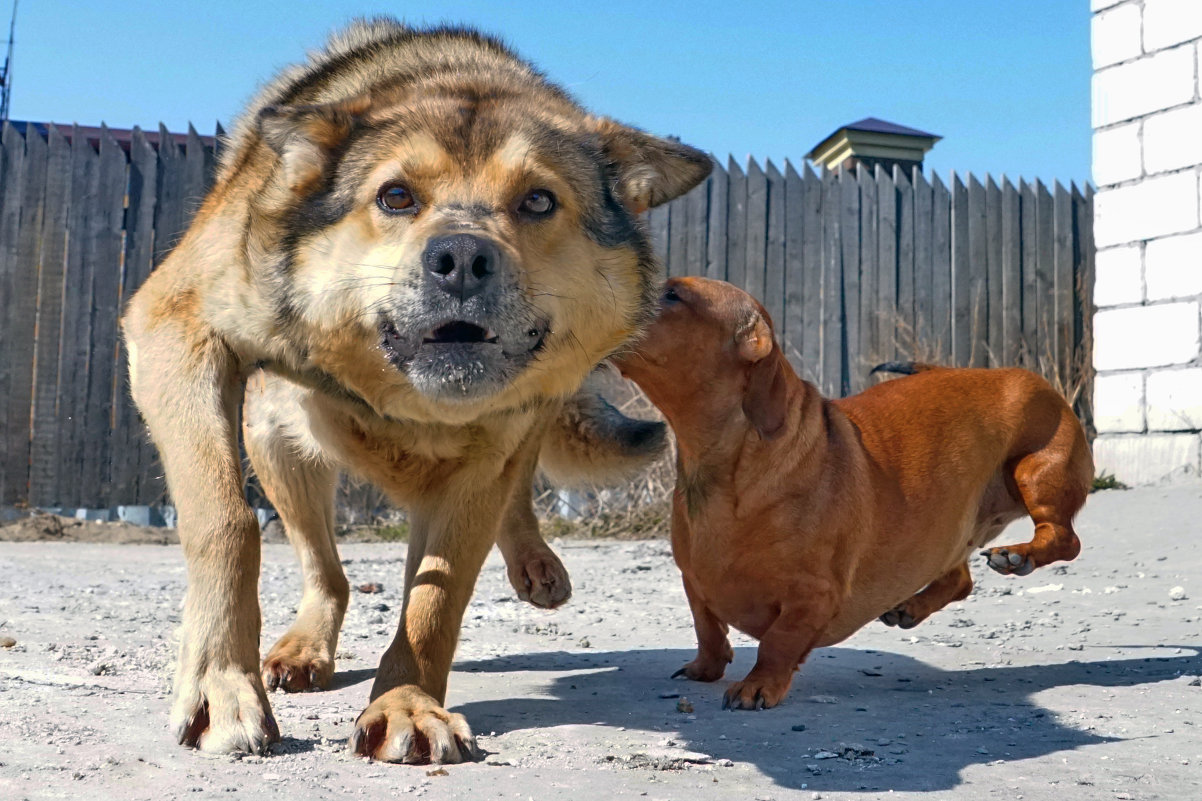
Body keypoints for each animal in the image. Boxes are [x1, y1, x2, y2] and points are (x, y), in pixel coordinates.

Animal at [119, 21, 711, 760]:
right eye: (394, 196)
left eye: (539, 200)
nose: (461, 259)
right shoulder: (175, 330)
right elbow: (227, 522)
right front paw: (221, 686)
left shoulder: (488, 454)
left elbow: (437, 596)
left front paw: (406, 702)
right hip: (275, 435)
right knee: (327, 568)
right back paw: (306, 644)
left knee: (513, 488)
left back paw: (532, 559)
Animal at [615, 277, 1096, 707]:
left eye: (673, 294)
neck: (725, 469)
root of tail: (1024, 376)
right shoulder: (693, 581)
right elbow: (707, 627)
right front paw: (705, 667)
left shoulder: (813, 594)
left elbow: (779, 642)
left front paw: (758, 685)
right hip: (951, 526)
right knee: (960, 579)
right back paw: (913, 606)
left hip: (1035, 473)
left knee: (1065, 539)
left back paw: (1019, 555)